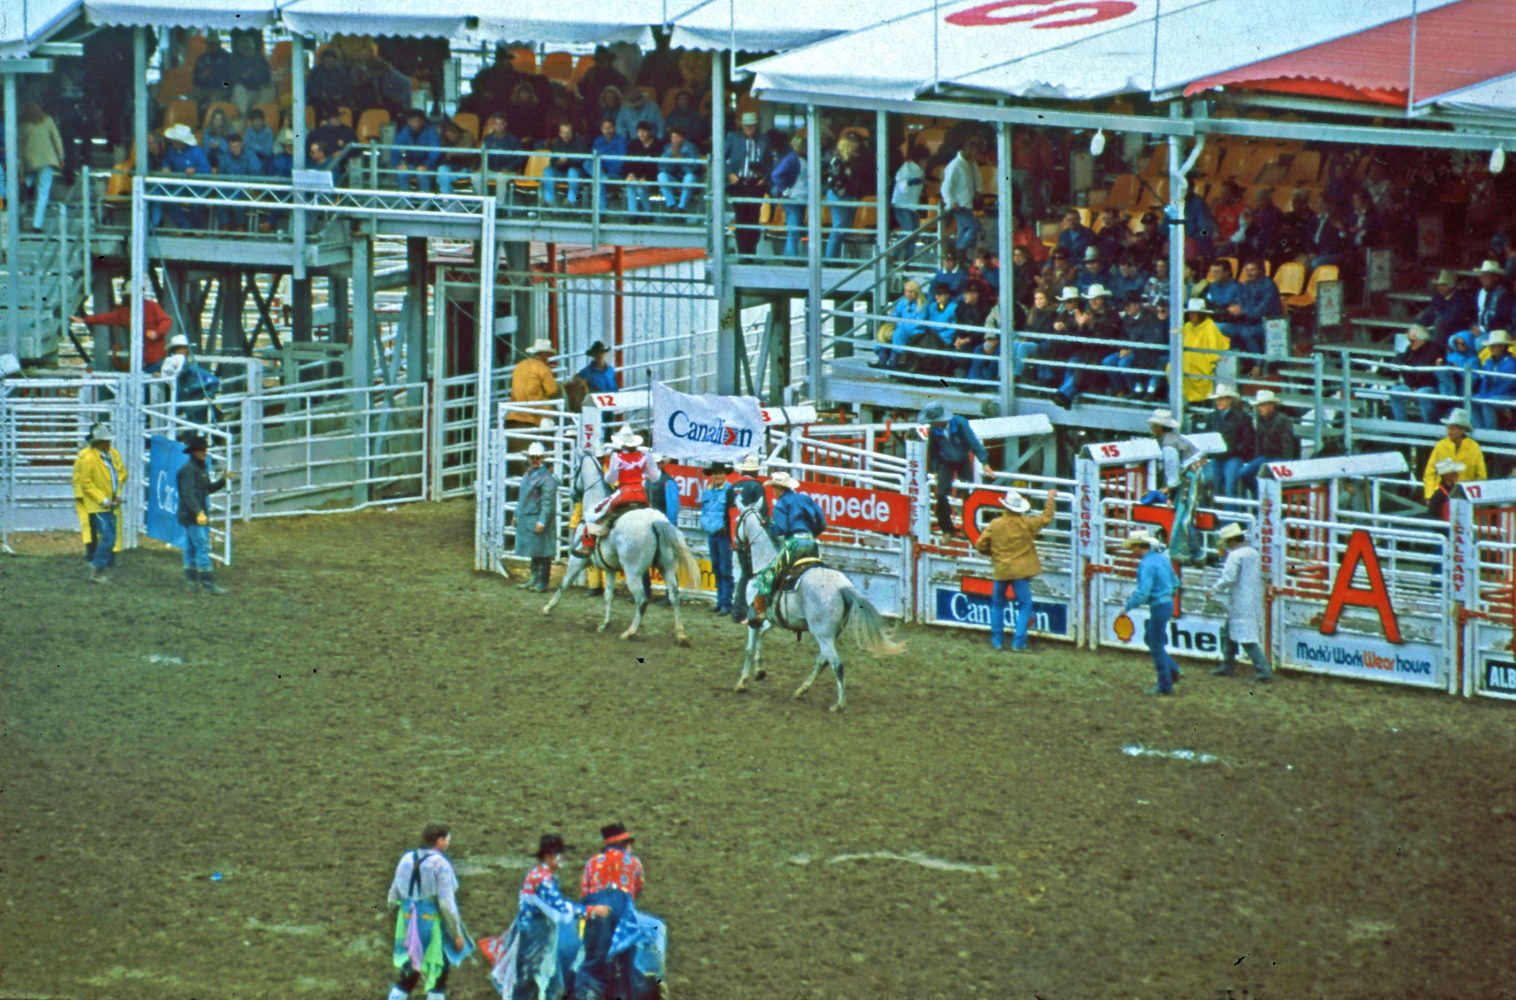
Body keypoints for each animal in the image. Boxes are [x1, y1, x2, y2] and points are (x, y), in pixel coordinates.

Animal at [542, 448, 700, 645]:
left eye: (575, 470)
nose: (573, 494)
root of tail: (655, 522)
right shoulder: (610, 569)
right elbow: (608, 595)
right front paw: (605, 624)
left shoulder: (577, 561)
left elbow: (564, 583)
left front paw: (548, 607)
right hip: (667, 567)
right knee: (674, 595)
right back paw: (681, 634)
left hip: (633, 572)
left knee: (642, 600)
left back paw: (629, 632)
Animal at [730, 496, 897, 706]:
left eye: (737, 520)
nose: (735, 544)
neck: (765, 561)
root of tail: (842, 587)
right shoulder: (771, 618)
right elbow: (762, 635)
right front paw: (760, 671)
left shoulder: (755, 617)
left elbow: (749, 647)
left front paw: (742, 682)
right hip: (830, 633)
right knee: (823, 660)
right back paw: (802, 690)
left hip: (822, 633)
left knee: (836, 663)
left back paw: (838, 705)